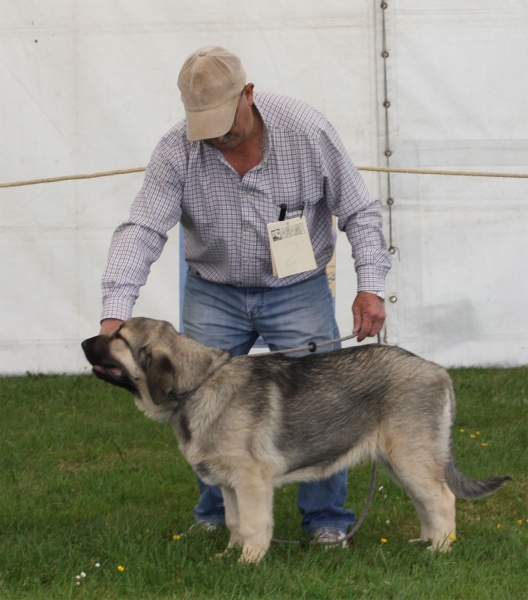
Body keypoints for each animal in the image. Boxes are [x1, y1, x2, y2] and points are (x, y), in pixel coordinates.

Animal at [80, 318, 510, 564]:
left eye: (118, 336)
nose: (84, 343)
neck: (198, 385)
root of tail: (439, 371)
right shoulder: (230, 485)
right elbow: (235, 522)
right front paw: (228, 555)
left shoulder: (251, 481)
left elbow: (254, 525)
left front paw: (247, 564)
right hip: (401, 461)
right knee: (427, 503)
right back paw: (424, 542)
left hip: (410, 456)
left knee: (442, 499)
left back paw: (440, 551)